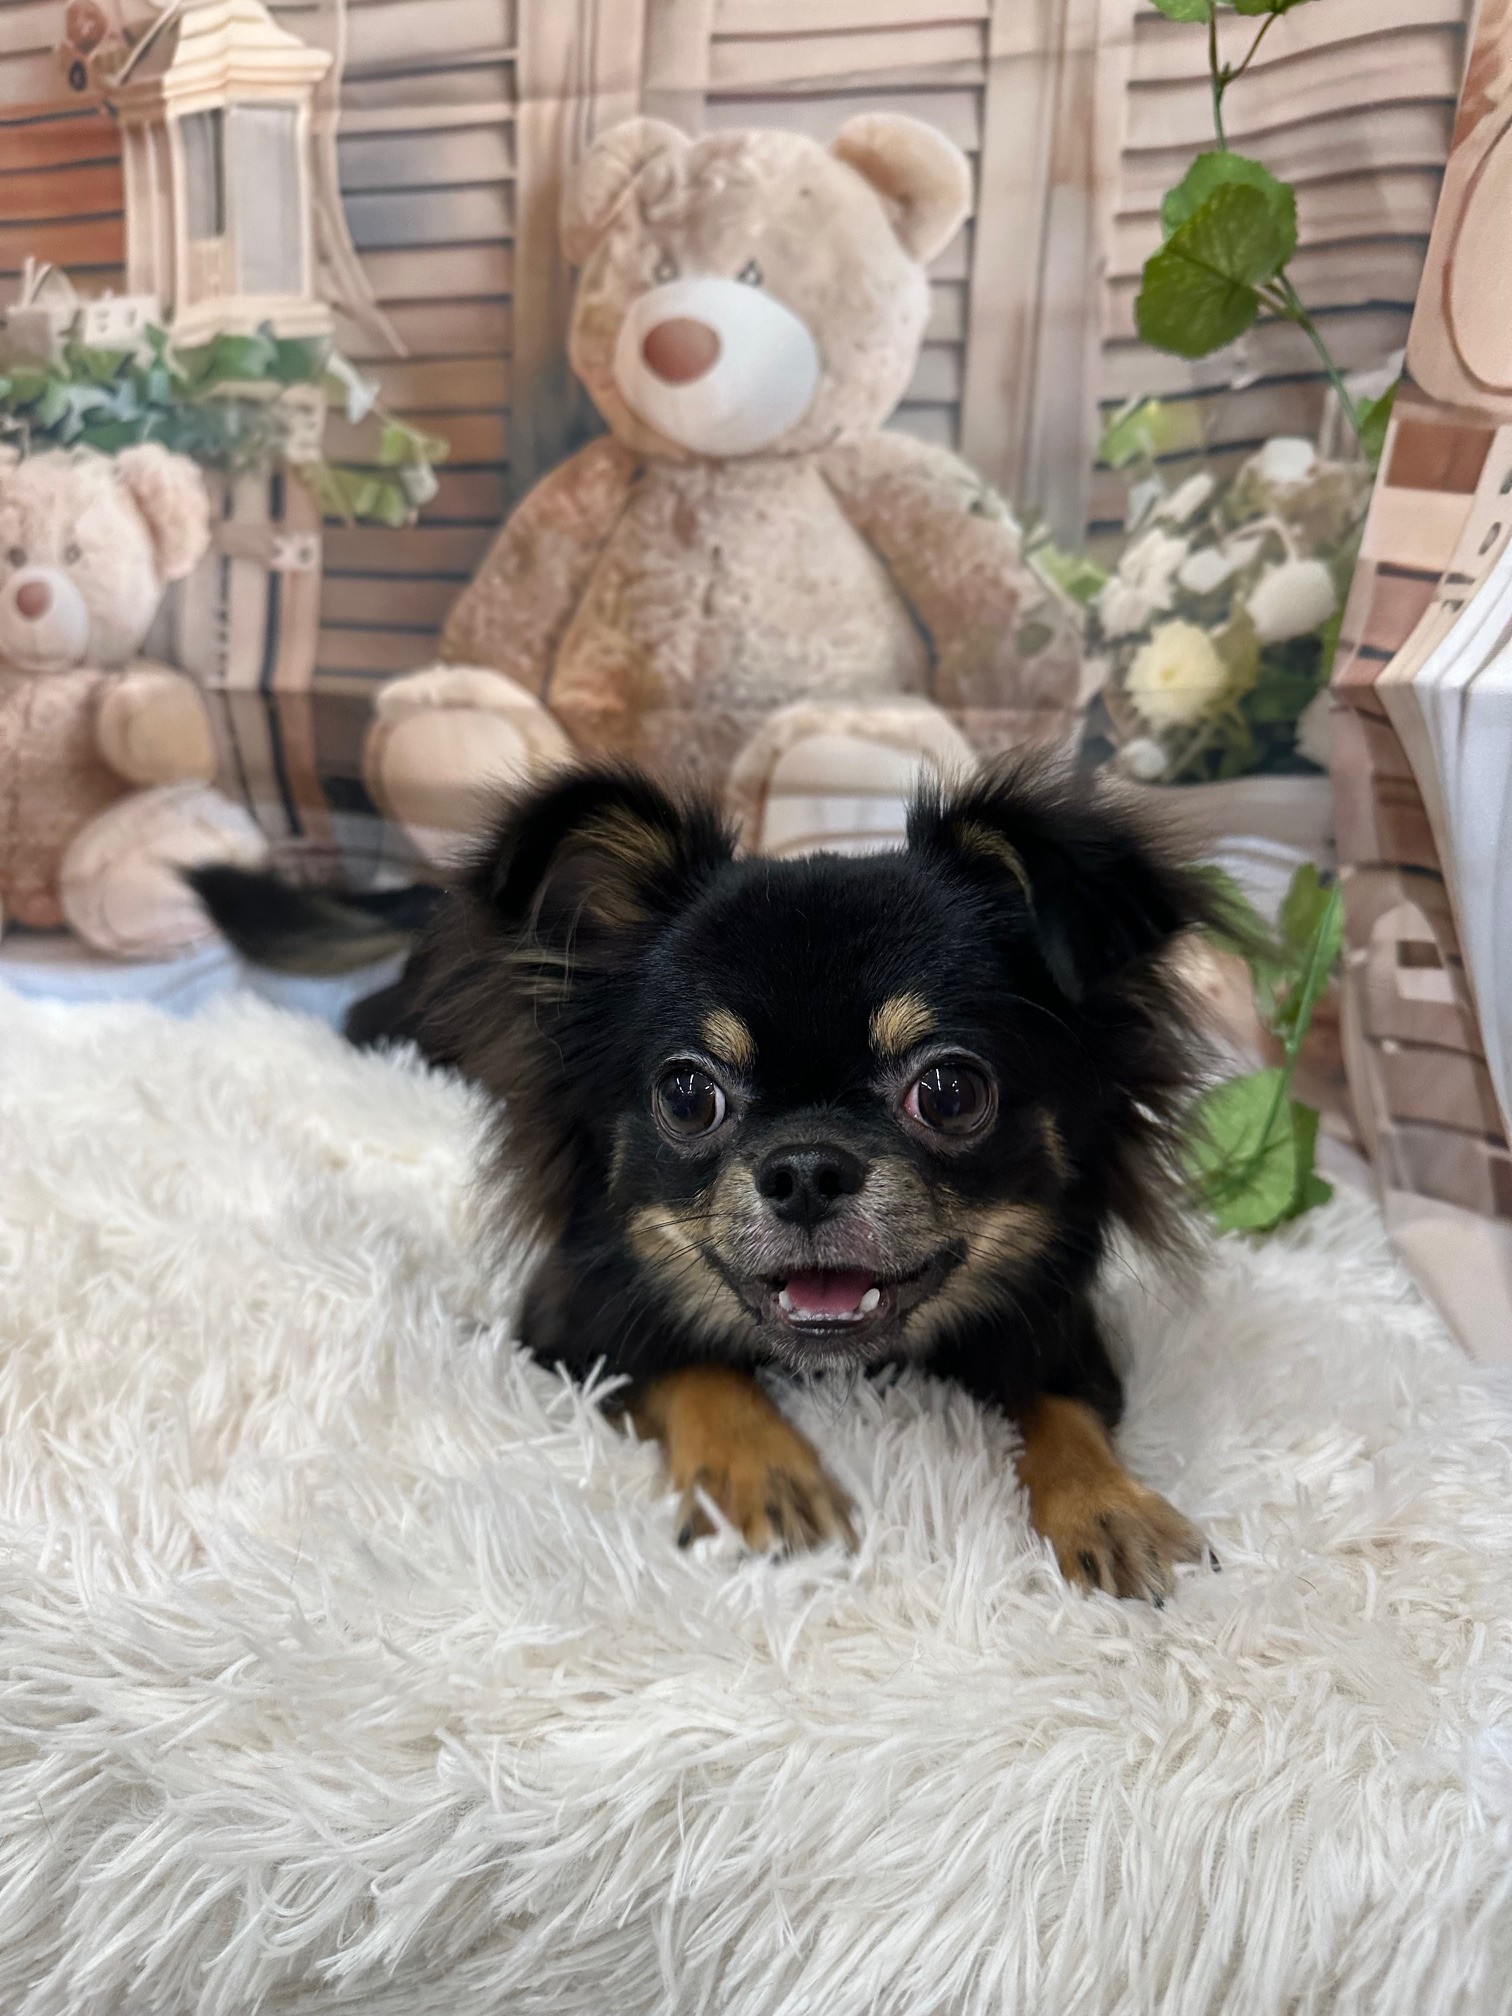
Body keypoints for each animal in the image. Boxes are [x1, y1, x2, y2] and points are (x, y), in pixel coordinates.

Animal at [193, 759, 1223, 1602]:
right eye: (689, 1096)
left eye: (951, 1091)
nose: (806, 1168)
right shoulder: (569, 1326)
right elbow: (687, 1362)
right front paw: (761, 1474)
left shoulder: (1064, 1330)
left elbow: (1061, 1410)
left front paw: (1106, 1505)